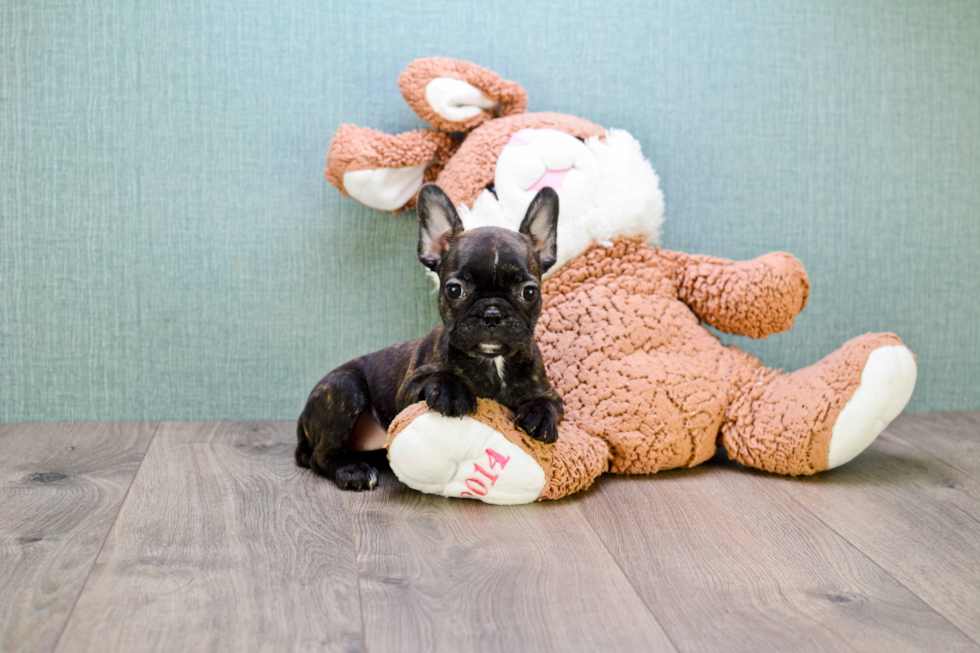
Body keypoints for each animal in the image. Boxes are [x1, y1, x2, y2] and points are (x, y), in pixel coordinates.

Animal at [294, 183, 564, 488]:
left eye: (529, 292)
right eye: (454, 290)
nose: (492, 313)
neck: (493, 363)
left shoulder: (551, 394)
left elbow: (547, 403)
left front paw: (539, 415)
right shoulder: (407, 391)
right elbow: (436, 376)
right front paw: (452, 391)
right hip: (344, 388)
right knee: (321, 455)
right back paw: (353, 470)